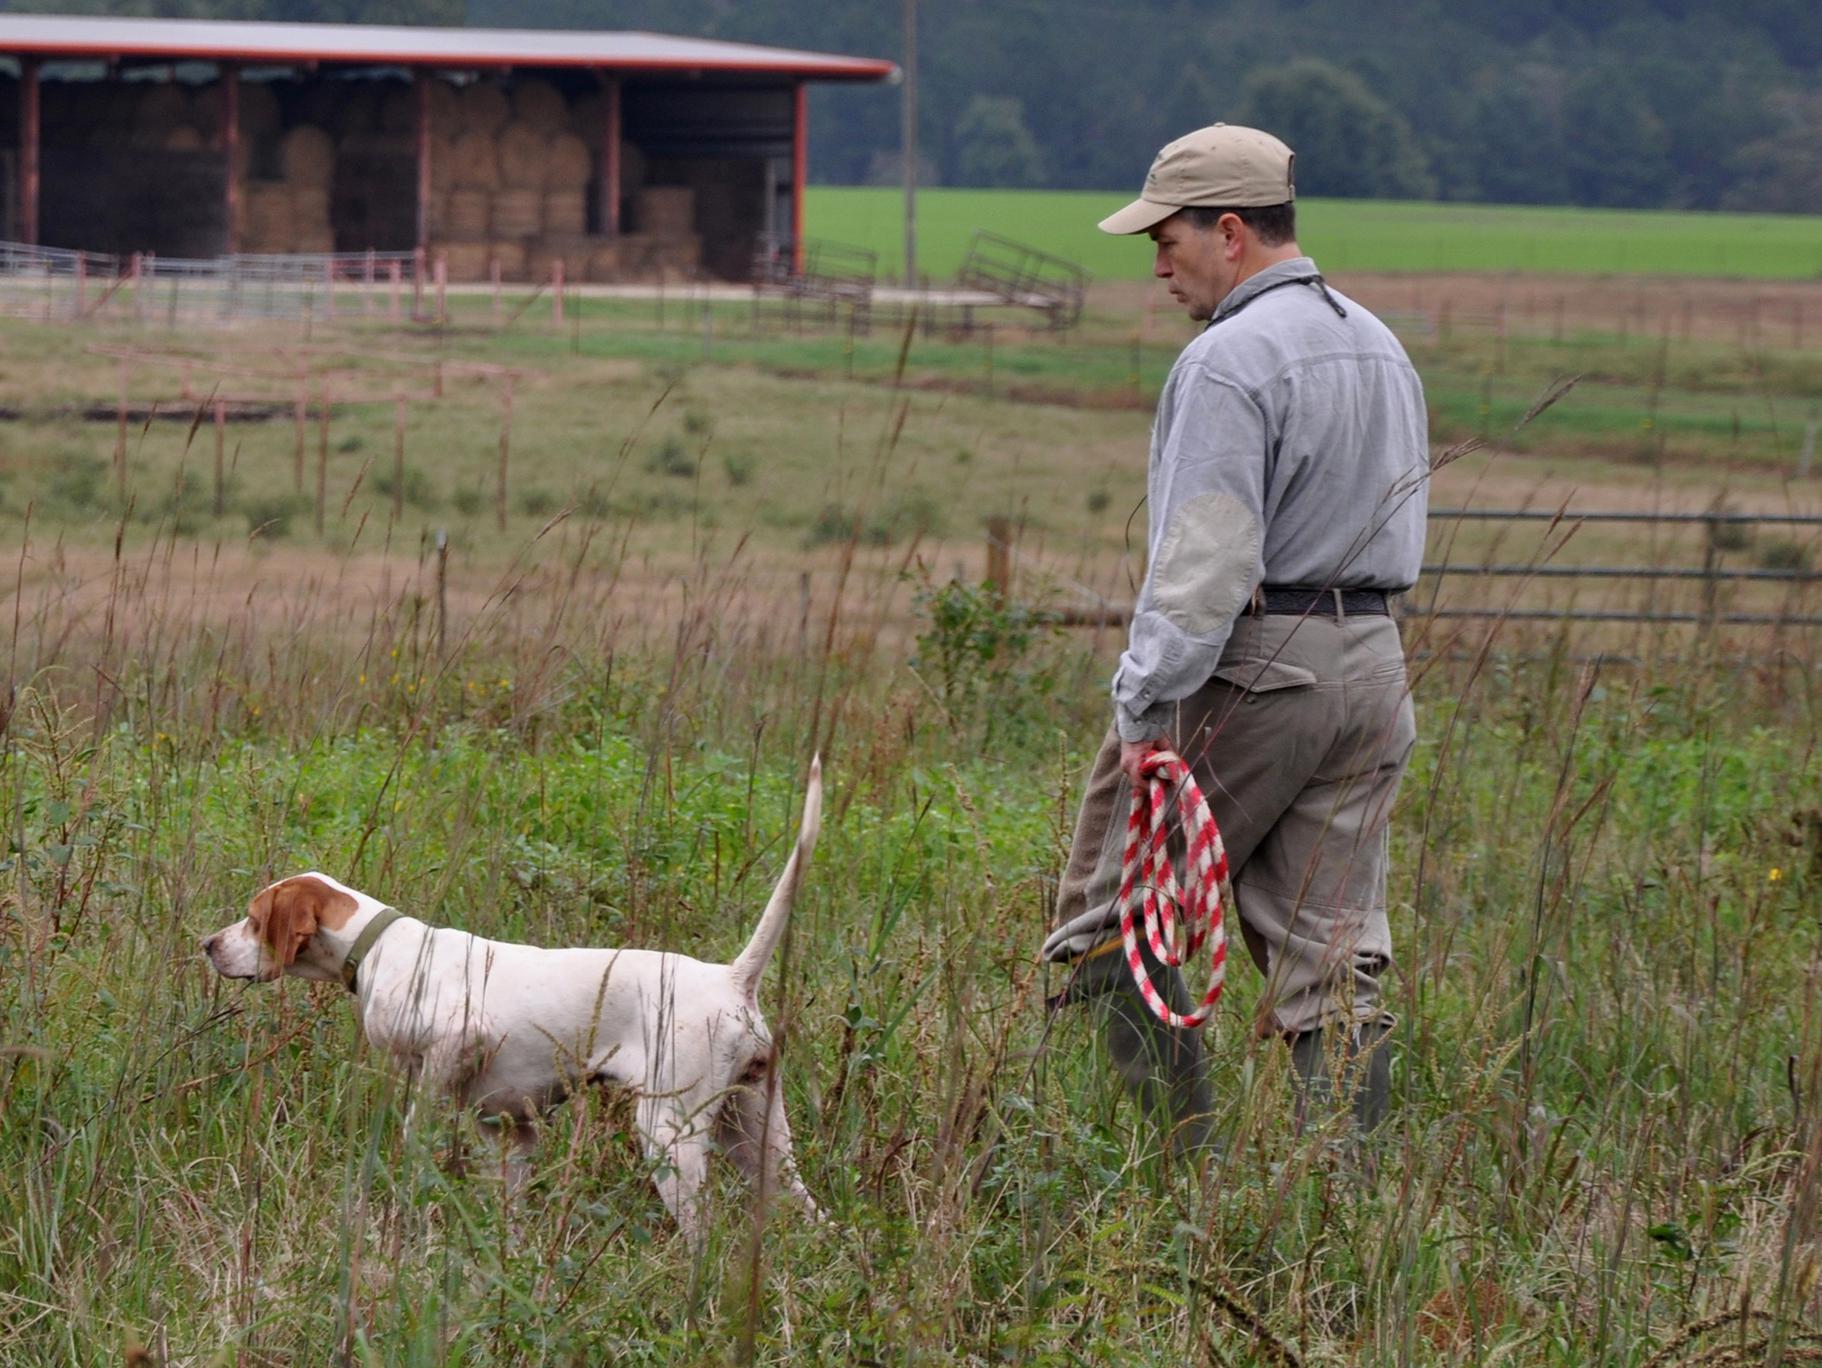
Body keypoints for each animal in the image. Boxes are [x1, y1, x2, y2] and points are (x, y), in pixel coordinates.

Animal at [203, 754, 823, 1238]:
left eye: (253, 920)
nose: (207, 944)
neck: (377, 947)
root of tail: (732, 978)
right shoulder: (507, 1128)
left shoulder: (457, 1041)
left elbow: (415, 1127)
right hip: (761, 1138)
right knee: (811, 1214)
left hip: (672, 1133)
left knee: (703, 1232)